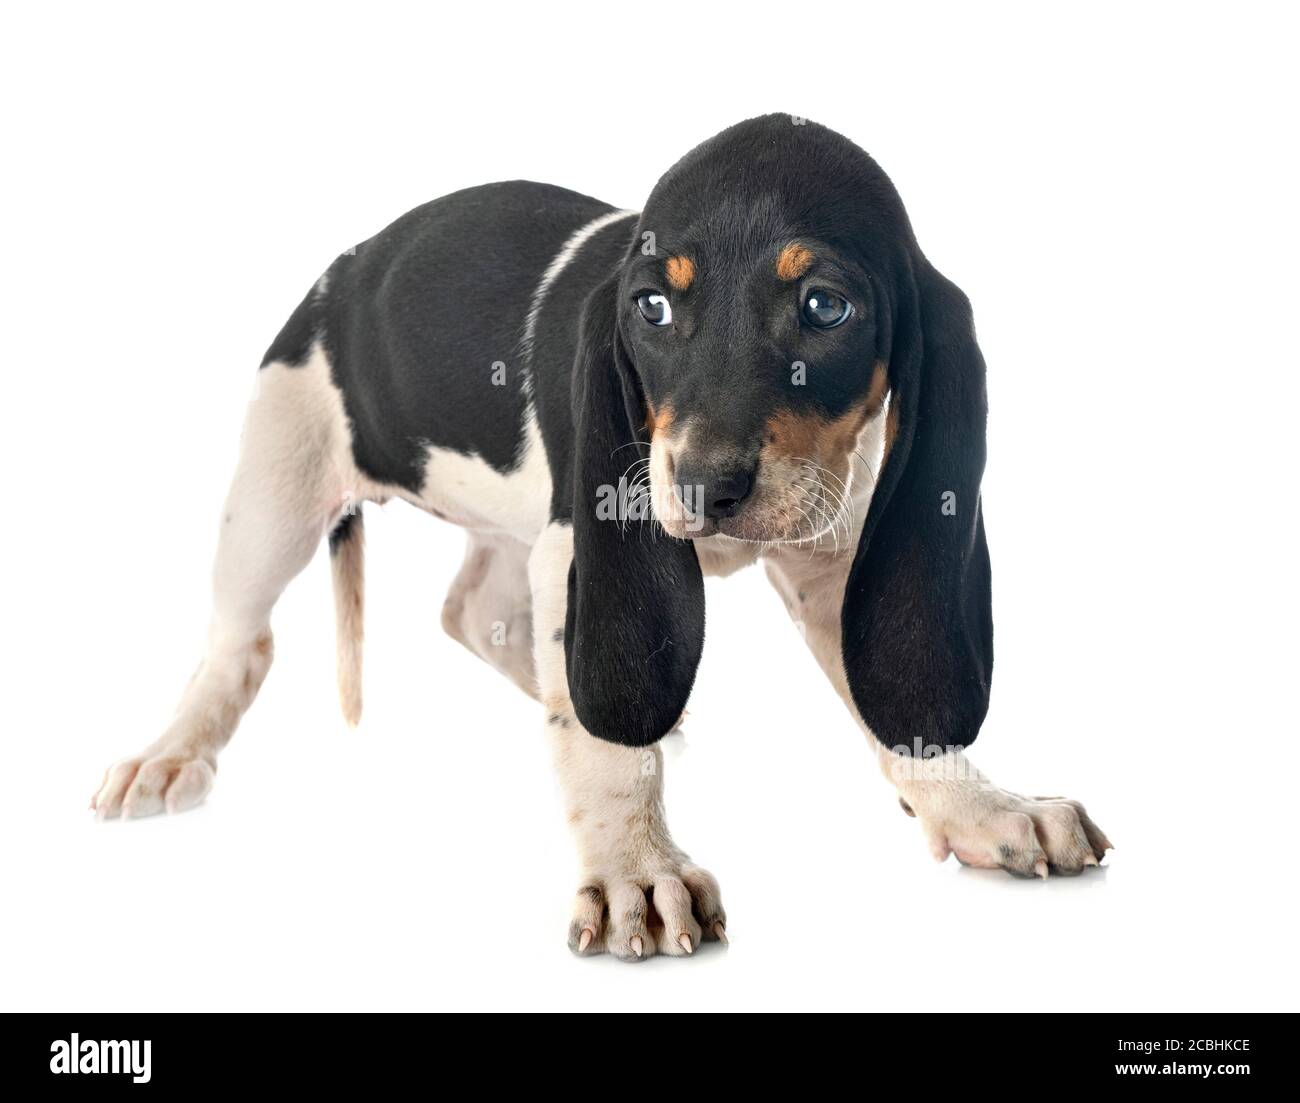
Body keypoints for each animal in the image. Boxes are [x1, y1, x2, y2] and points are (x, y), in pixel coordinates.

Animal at [91, 111, 1107, 957]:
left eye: (827, 306)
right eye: (651, 308)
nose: (700, 484)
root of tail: (342, 268)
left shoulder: (833, 556)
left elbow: (887, 703)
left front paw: (979, 807)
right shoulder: (590, 540)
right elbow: (606, 747)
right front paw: (636, 872)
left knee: (478, 615)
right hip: (276, 487)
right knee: (242, 644)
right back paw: (171, 753)